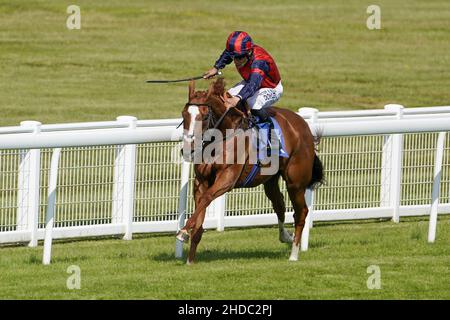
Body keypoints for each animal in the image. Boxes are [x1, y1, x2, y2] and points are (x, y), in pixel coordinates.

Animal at [176, 79, 324, 264]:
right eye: (184, 115)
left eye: (204, 116)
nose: (188, 150)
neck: (223, 136)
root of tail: (303, 126)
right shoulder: (201, 181)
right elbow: (201, 207)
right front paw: (190, 258)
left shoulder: (227, 179)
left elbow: (206, 198)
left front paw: (183, 232)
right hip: (270, 180)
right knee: (279, 204)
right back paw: (286, 237)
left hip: (295, 182)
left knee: (301, 212)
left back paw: (294, 253)